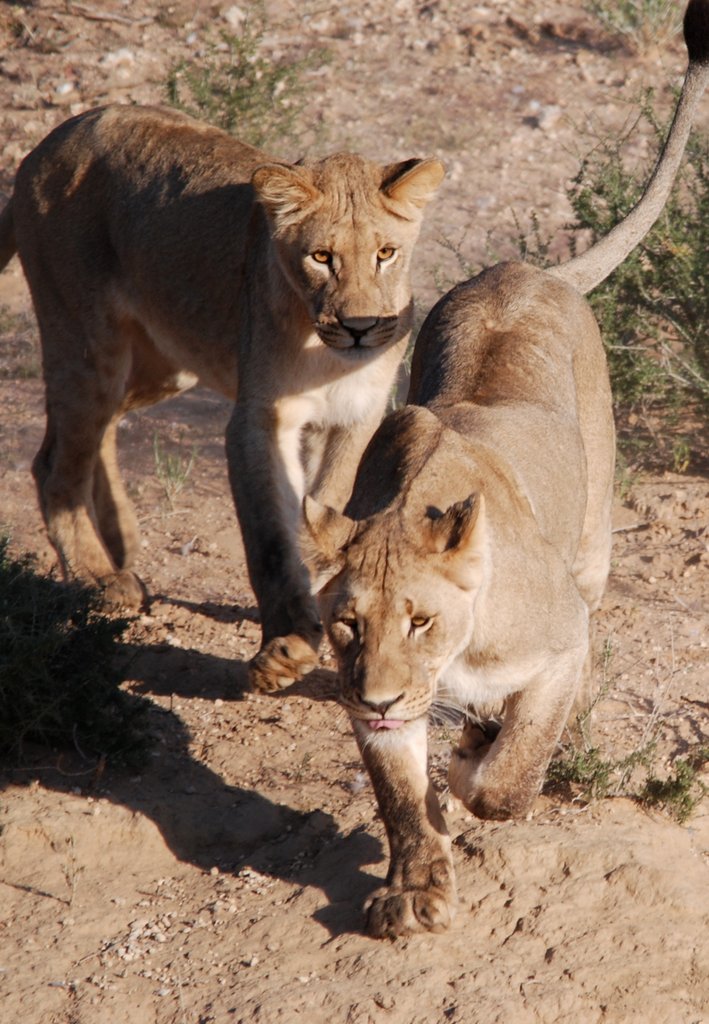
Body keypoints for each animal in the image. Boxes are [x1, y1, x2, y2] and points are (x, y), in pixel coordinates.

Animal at [0, 104, 444, 691]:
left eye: (386, 254)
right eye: (321, 256)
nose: (360, 328)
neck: (324, 353)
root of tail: (47, 144)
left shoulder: (357, 416)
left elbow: (325, 503)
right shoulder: (259, 419)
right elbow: (271, 536)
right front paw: (286, 644)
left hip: (167, 364)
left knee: (102, 429)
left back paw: (120, 539)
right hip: (85, 336)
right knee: (54, 461)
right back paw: (99, 576)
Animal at [302, 0, 709, 938]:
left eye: (419, 620)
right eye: (347, 626)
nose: (377, 696)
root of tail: (525, 266)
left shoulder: (560, 641)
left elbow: (508, 774)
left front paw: (473, 769)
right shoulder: (375, 709)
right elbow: (398, 800)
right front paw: (414, 888)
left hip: (592, 546)